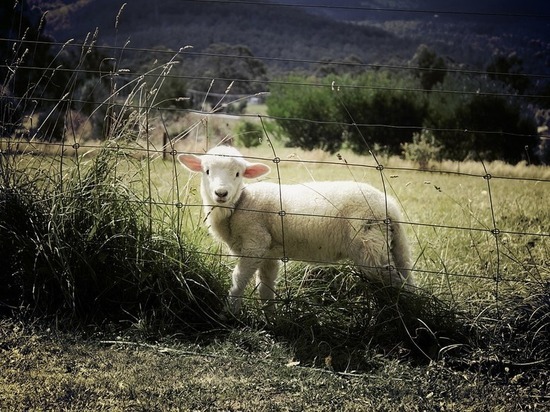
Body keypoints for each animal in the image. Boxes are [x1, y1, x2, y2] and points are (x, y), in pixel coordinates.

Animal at [179, 146, 416, 316]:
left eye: (238, 174)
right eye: (207, 171)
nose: (221, 193)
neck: (239, 204)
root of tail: (388, 206)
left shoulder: (256, 243)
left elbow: (239, 279)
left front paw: (228, 313)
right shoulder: (269, 253)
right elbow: (265, 287)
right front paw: (271, 319)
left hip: (369, 247)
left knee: (395, 281)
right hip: (391, 245)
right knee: (405, 276)